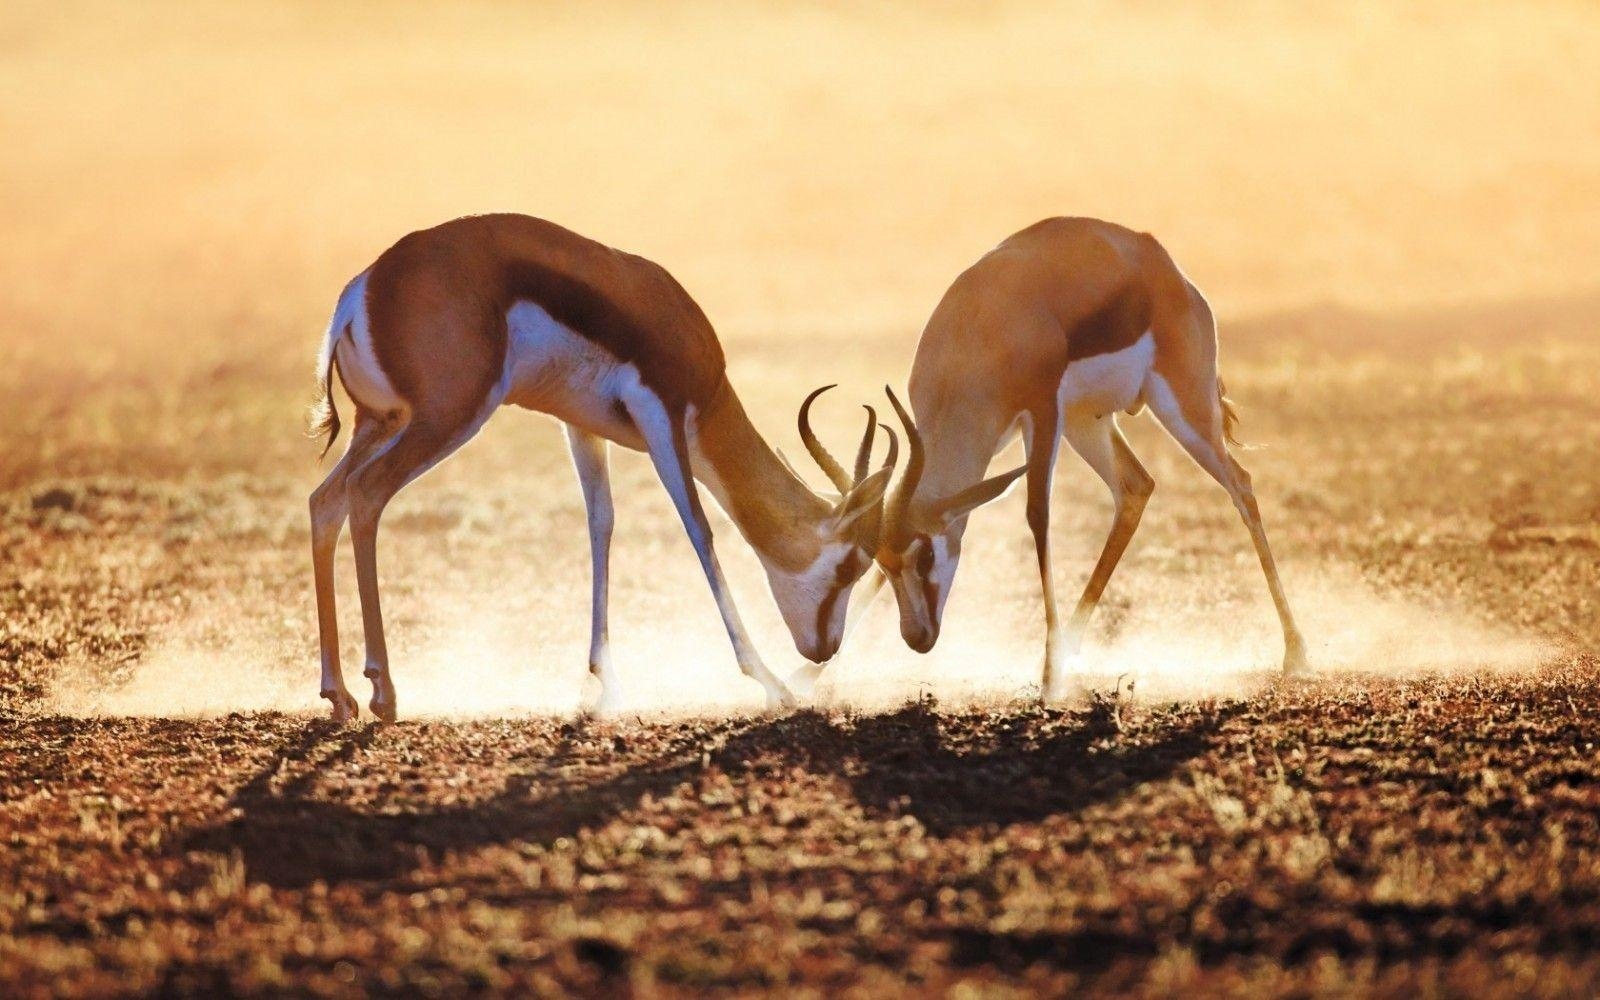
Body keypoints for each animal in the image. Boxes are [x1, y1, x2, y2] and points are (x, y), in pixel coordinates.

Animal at [304, 214, 896, 720]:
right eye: (852, 564)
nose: (824, 650)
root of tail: (363, 291)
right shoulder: (663, 415)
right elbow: (700, 531)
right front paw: (770, 683)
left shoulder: (581, 426)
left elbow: (601, 523)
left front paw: (604, 684)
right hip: (445, 419)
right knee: (366, 494)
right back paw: (383, 691)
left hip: (380, 424)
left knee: (325, 501)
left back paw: (339, 694)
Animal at [870, 217, 1305, 700]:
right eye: (884, 562)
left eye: (926, 556)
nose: (917, 637)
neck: (978, 325)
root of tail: (1166, 268)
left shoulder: (1042, 414)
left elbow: (1038, 516)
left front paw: (1047, 676)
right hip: (1088, 423)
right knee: (1137, 486)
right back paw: (1072, 647)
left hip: (1183, 409)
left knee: (1241, 484)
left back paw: (1295, 652)